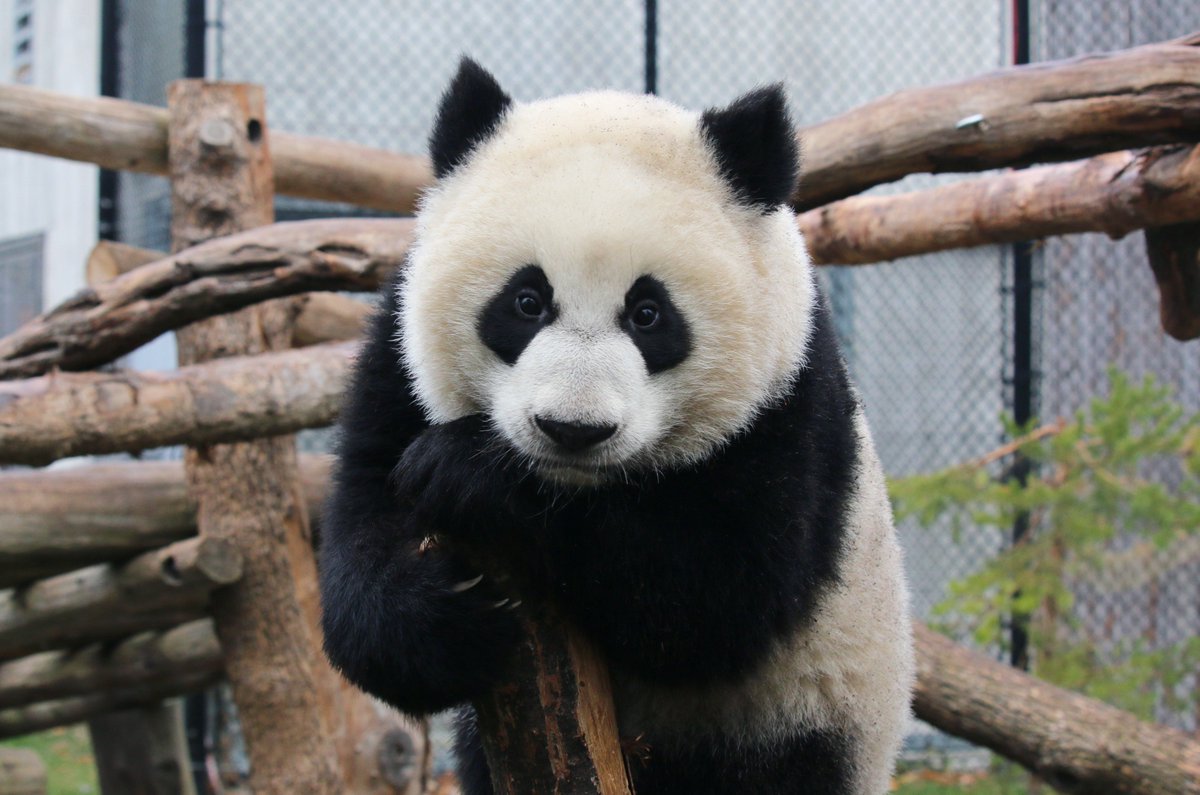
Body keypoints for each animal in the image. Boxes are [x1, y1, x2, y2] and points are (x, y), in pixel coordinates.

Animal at [319, 59, 915, 795]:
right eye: (526, 300)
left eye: (648, 313)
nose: (572, 429)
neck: (577, 485)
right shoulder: (397, 358)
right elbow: (366, 511)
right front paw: (448, 617)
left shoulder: (789, 407)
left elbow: (709, 596)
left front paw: (469, 475)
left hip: (802, 716)